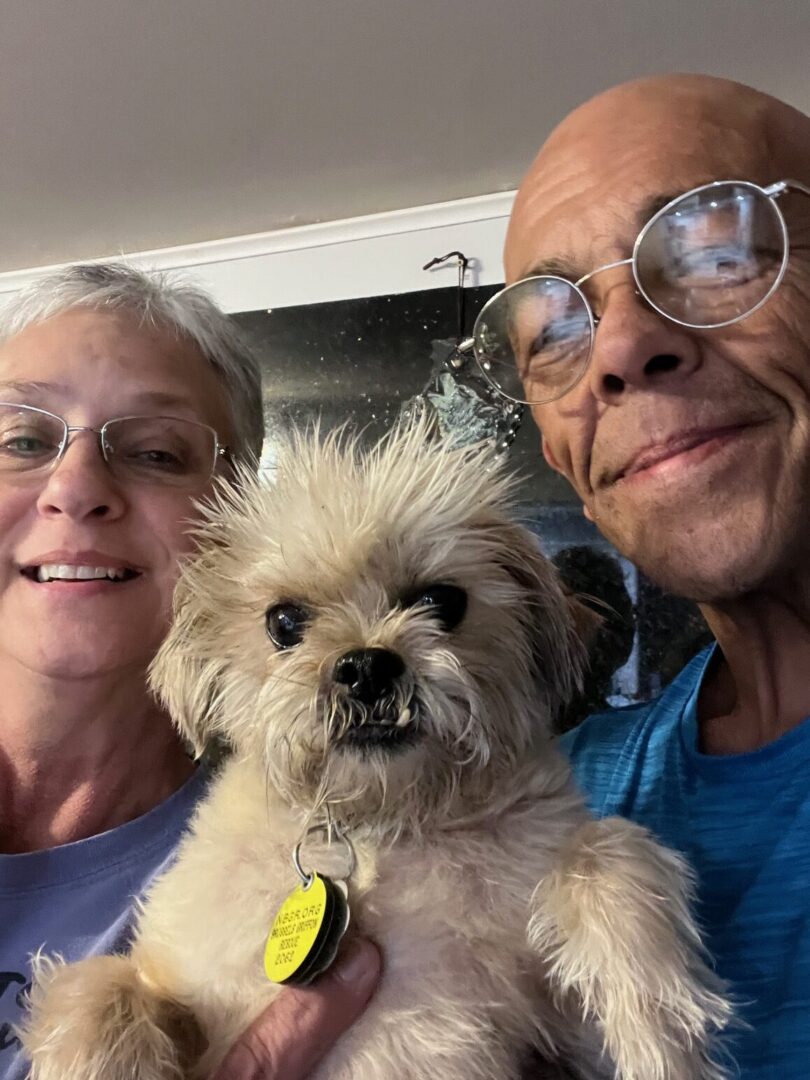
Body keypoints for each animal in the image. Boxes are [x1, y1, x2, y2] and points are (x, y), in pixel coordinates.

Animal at [22, 423, 734, 1080]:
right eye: (284, 622)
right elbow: (103, 987)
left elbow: (603, 851)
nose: (365, 666)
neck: (378, 828)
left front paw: (652, 1015)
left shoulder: (565, 1040)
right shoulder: (186, 980)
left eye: (442, 602)